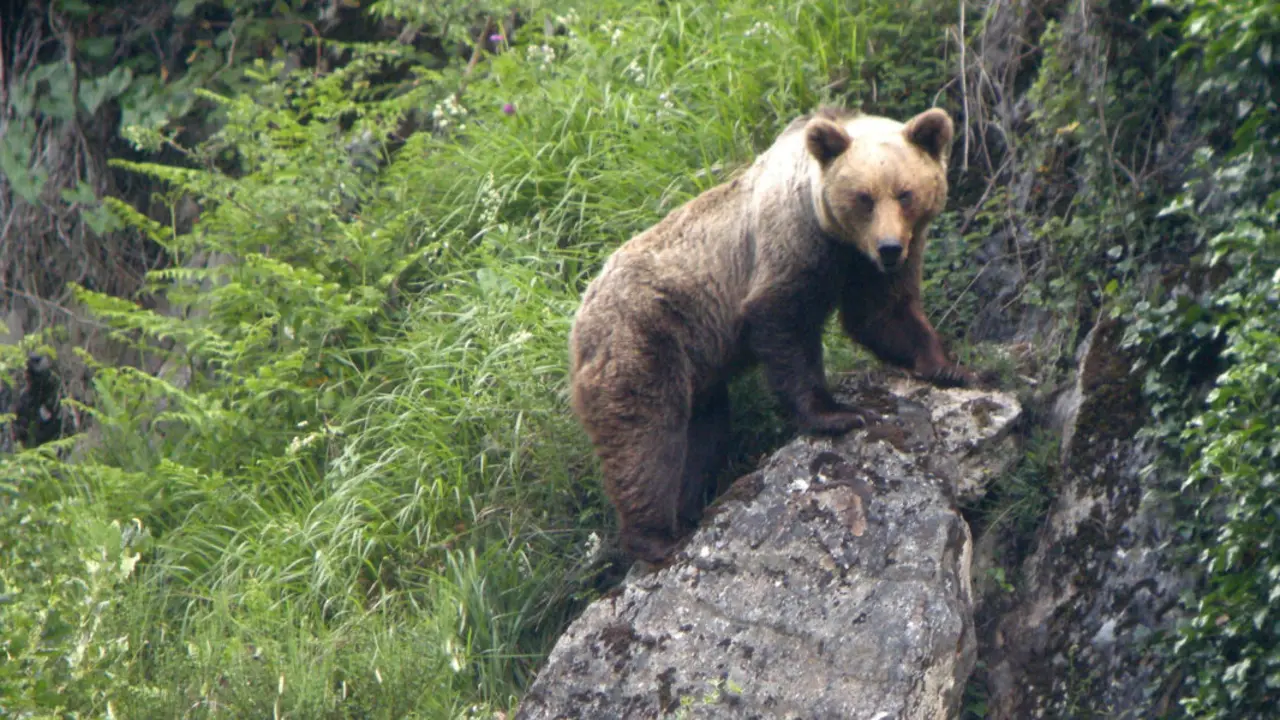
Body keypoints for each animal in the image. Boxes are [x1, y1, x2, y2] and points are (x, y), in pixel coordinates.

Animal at [568, 105, 974, 564]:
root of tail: (581, 314)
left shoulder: (868, 262)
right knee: (646, 438)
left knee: (703, 434)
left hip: (694, 364)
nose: (889, 247)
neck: (836, 237)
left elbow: (882, 313)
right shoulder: (792, 246)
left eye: (905, 193)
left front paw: (949, 366)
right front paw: (839, 414)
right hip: (646, 336)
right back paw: (657, 538)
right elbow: (785, 326)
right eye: (864, 198)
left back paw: (688, 511)